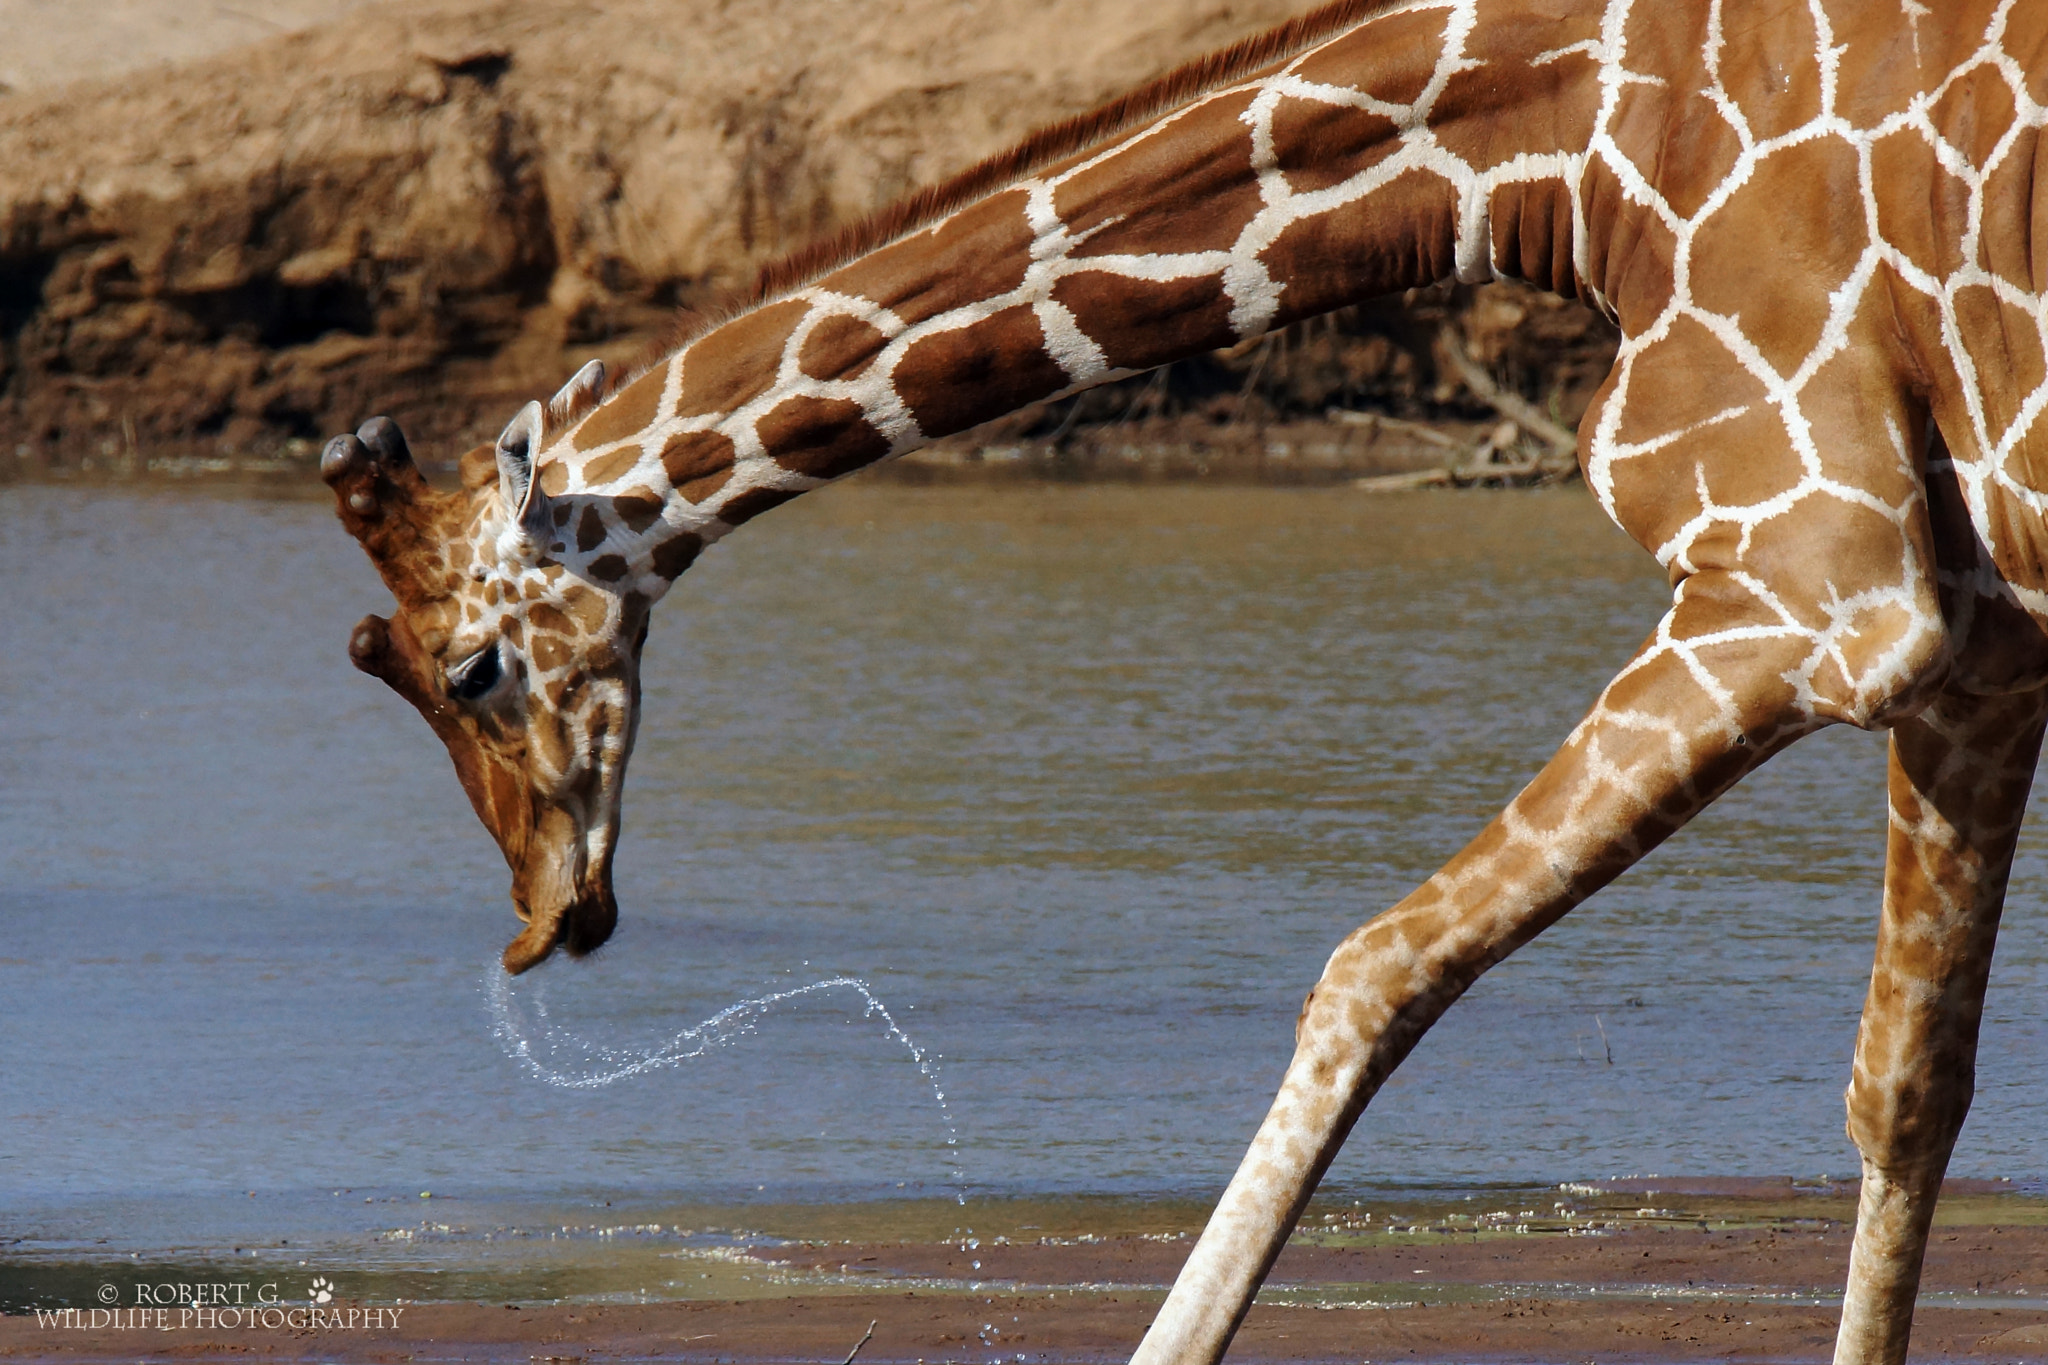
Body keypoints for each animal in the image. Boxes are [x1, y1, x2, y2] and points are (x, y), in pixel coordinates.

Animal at [327, 5, 2048, 1358]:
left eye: (472, 670)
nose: (546, 916)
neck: (1562, 157)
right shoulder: (1980, 645)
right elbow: (1906, 1090)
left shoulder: (1824, 585)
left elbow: (1377, 966)